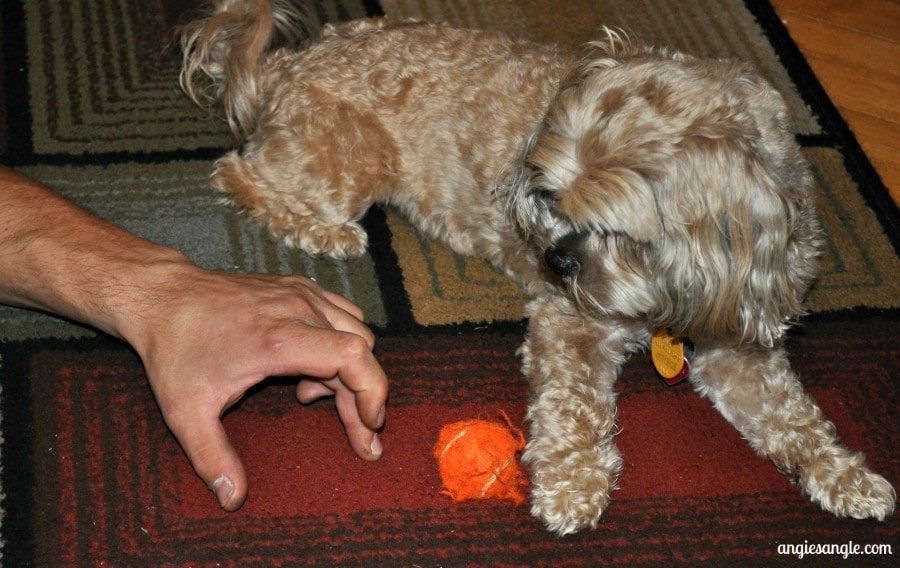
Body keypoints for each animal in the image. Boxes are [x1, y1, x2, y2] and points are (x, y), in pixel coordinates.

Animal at [176, 0, 892, 536]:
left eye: (617, 227)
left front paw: (846, 475)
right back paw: (326, 232)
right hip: (346, 159)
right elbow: (574, 408)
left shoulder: (738, 342)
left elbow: (796, 417)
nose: (555, 259)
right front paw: (574, 484)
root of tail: (285, 64)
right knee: (238, 176)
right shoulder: (570, 323)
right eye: (550, 195)